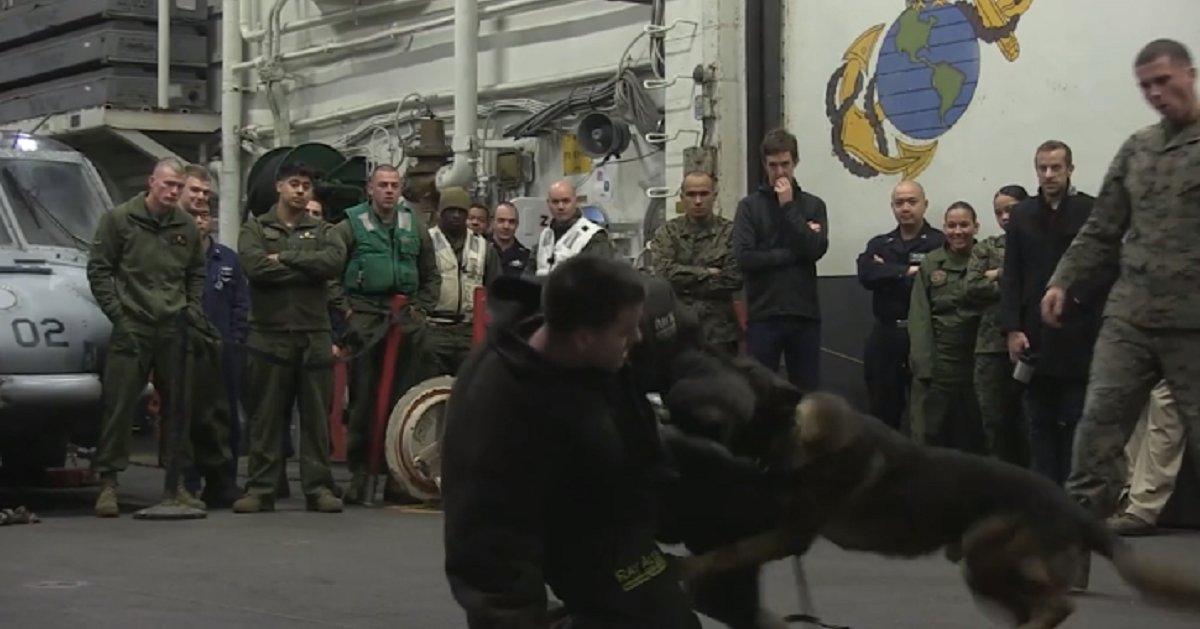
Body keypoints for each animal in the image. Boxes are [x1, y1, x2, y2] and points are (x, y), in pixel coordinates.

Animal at [671, 389, 1200, 628]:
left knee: (1057, 604)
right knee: (1039, 605)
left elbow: (731, 551)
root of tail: (1073, 509)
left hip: (986, 552)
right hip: (984, 570)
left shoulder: (790, 533)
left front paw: (691, 568)